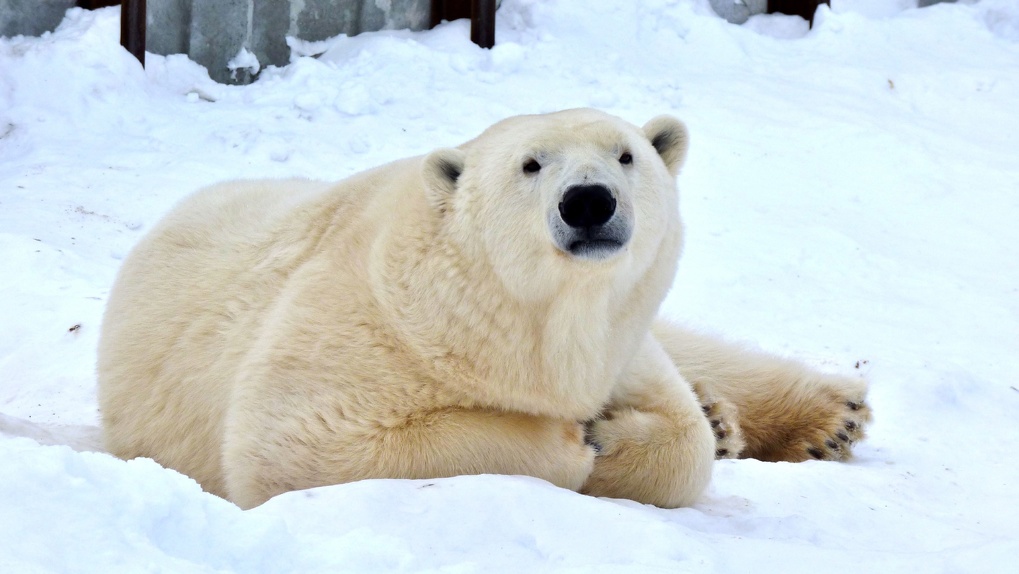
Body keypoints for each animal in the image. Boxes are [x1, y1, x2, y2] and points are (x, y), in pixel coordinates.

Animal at [99, 110, 872, 509]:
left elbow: (684, 439)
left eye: (626, 155)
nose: (587, 201)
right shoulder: (360, 327)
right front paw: (575, 440)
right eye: (531, 164)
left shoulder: (612, 342)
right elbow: (298, 443)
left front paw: (648, 428)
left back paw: (826, 417)